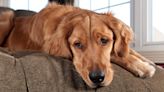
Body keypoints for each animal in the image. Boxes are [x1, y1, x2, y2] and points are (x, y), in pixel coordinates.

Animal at [0, 2, 156, 87]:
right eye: (77, 44)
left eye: (104, 40)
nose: (97, 78)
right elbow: (115, 54)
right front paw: (141, 66)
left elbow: (127, 50)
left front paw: (147, 61)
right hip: (8, 16)